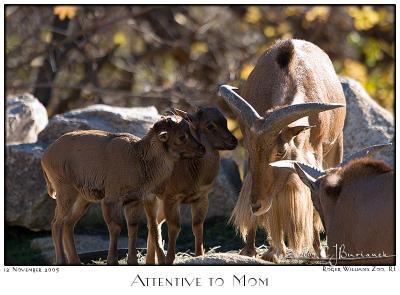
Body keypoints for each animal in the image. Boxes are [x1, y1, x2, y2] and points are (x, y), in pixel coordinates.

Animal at [41, 116, 206, 266]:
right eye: (181, 136)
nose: (202, 149)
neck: (137, 161)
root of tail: (45, 157)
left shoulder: (134, 200)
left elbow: (132, 227)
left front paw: (132, 261)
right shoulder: (111, 198)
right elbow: (115, 227)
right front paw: (112, 261)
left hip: (83, 198)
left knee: (68, 223)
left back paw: (76, 261)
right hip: (65, 191)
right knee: (56, 223)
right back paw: (61, 261)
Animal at [145, 107, 238, 264]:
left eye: (225, 121)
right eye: (210, 125)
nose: (234, 141)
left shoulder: (202, 197)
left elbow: (198, 225)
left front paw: (200, 255)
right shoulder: (171, 197)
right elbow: (175, 227)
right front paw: (169, 259)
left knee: (156, 222)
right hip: (151, 197)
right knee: (153, 225)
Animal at [219, 38, 346, 262]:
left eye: (280, 152)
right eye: (250, 150)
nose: (256, 205)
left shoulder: (314, 152)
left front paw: (317, 250)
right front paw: (262, 251)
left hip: (336, 145)